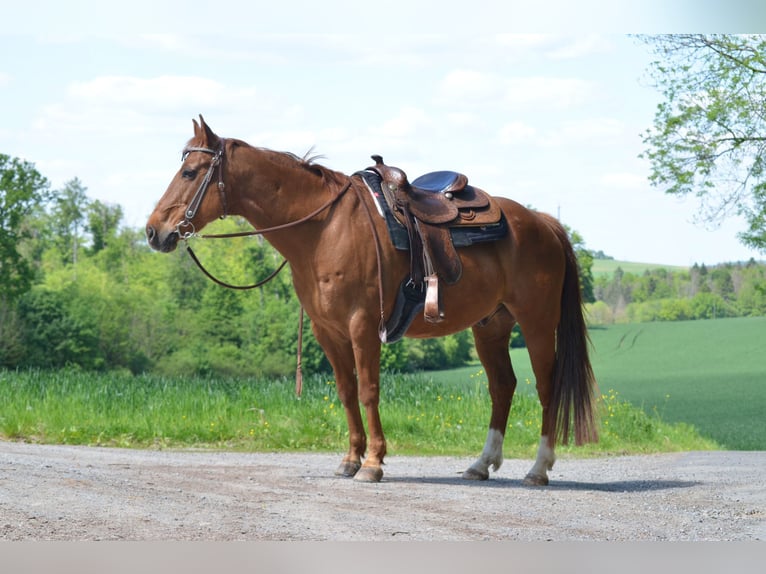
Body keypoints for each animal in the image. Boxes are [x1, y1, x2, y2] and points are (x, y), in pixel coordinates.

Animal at [146, 117, 600, 486]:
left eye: (189, 171)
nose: (154, 231)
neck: (323, 227)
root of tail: (543, 222)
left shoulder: (362, 325)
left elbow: (368, 390)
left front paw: (374, 463)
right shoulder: (326, 331)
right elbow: (346, 392)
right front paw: (350, 459)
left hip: (537, 322)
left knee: (547, 387)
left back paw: (538, 469)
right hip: (491, 326)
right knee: (502, 386)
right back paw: (481, 464)